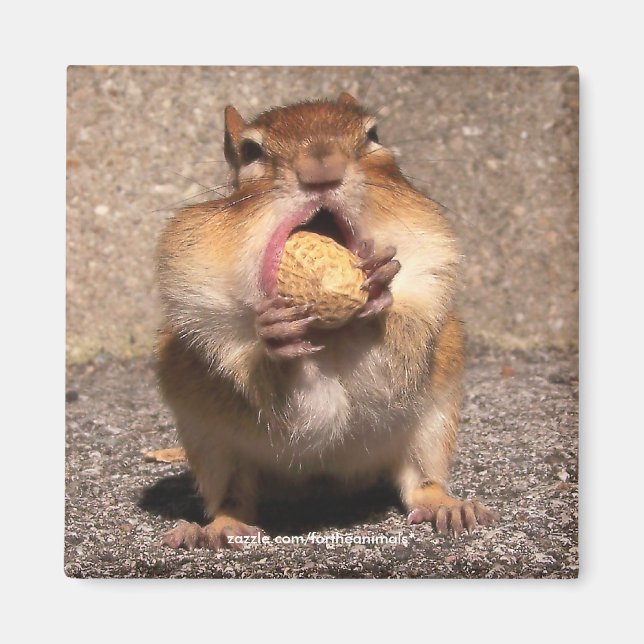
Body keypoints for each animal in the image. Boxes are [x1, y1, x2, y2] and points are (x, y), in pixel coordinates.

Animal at [156, 92, 497, 550]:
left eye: (373, 135)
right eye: (250, 151)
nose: (322, 169)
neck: (330, 337)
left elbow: (390, 367)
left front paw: (378, 292)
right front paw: (276, 344)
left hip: (434, 423)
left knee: (420, 483)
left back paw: (449, 505)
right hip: (211, 448)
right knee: (233, 498)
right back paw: (218, 527)